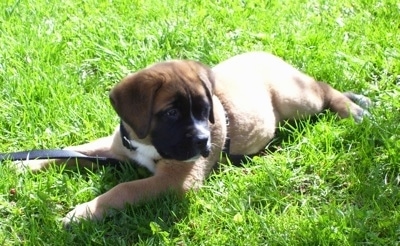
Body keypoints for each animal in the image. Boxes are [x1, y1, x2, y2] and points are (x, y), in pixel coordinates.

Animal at [17, 52, 370, 225]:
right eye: (171, 113)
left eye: (205, 110)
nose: (204, 143)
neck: (147, 142)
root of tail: (266, 54)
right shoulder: (115, 146)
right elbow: (73, 151)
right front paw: (28, 165)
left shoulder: (175, 180)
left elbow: (124, 189)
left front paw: (85, 212)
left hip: (295, 99)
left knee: (323, 89)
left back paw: (353, 109)